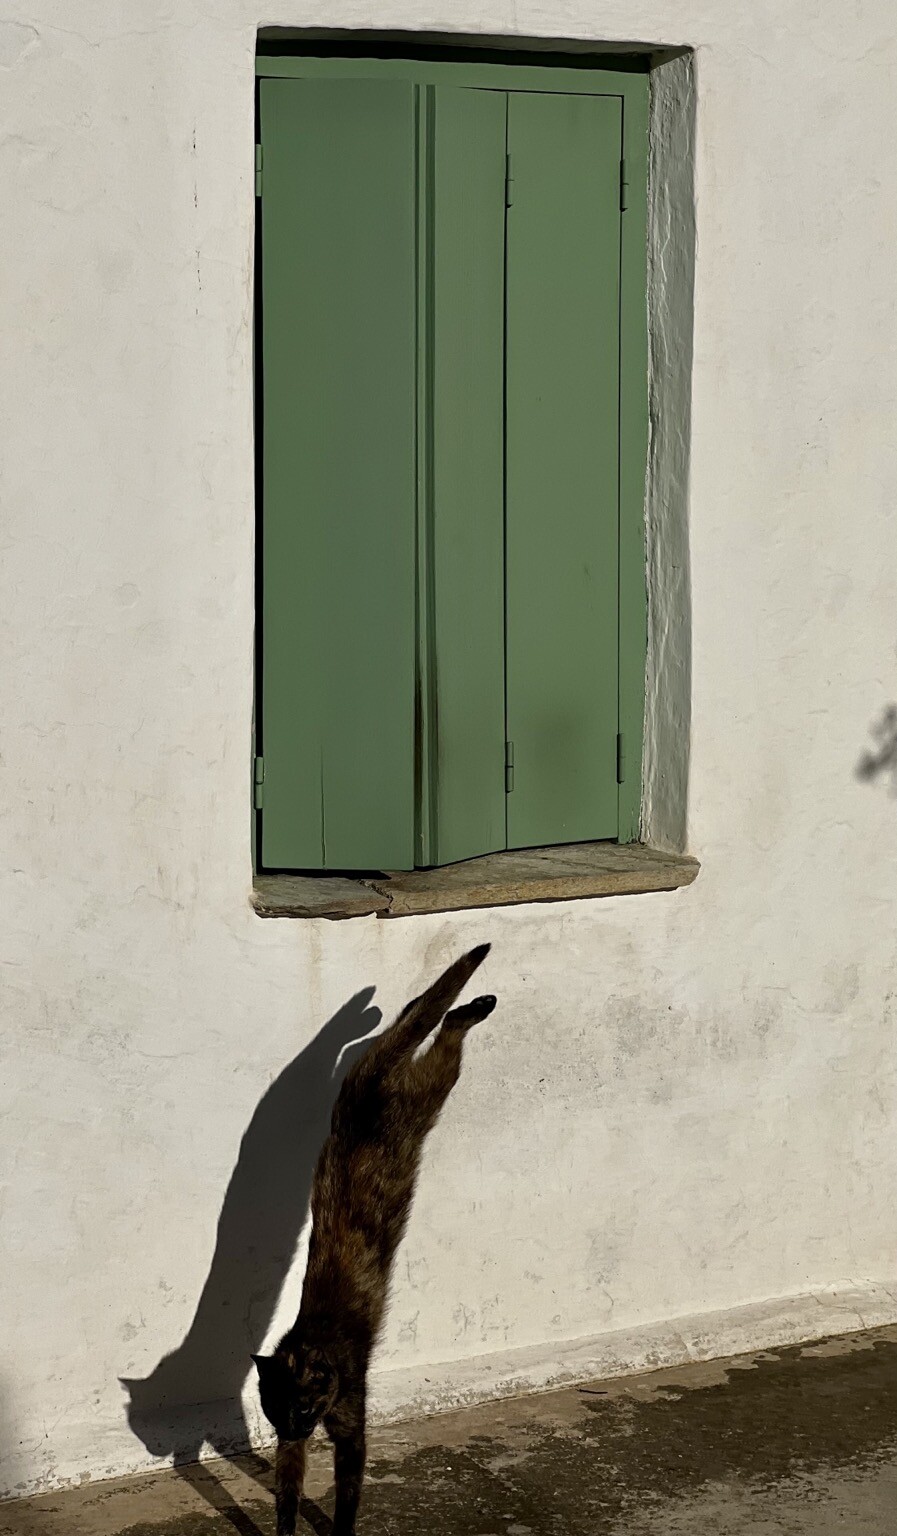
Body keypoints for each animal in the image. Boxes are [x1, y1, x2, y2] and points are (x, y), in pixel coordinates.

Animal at [250, 933, 497, 1536]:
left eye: (304, 1408)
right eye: (273, 1409)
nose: (293, 1427)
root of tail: (372, 1090)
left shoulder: (350, 1428)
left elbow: (347, 1495)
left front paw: (339, 1532)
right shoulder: (292, 1449)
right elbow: (287, 1493)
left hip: (429, 1090)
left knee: (436, 1033)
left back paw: (470, 1007)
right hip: (385, 1076)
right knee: (416, 1019)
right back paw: (452, 1007)